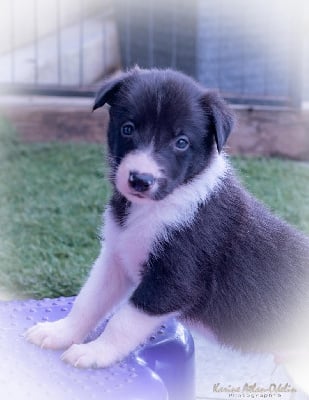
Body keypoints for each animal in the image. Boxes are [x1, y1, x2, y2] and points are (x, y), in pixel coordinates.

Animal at [26, 69, 308, 382]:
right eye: (128, 129)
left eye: (181, 142)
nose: (140, 180)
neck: (157, 207)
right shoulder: (115, 256)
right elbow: (88, 299)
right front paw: (60, 332)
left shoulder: (173, 280)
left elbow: (123, 321)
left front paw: (95, 352)